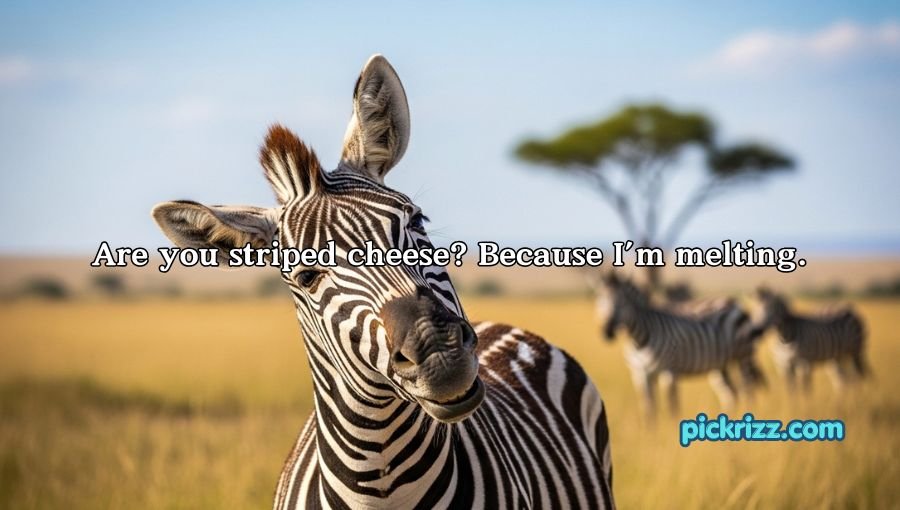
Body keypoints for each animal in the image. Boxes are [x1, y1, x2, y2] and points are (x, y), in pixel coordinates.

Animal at [595, 272, 761, 418]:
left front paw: (671, 428)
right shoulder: (640, 375)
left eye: (623, 303)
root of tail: (733, 301)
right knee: (731, 395)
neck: (638, 341)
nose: (607, 332)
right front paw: (651, 432)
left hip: (744, 355)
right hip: (720, 364)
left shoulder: (669, 371)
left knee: (749, 391)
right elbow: (649, 410)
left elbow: (672, 407)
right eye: (601, 300)